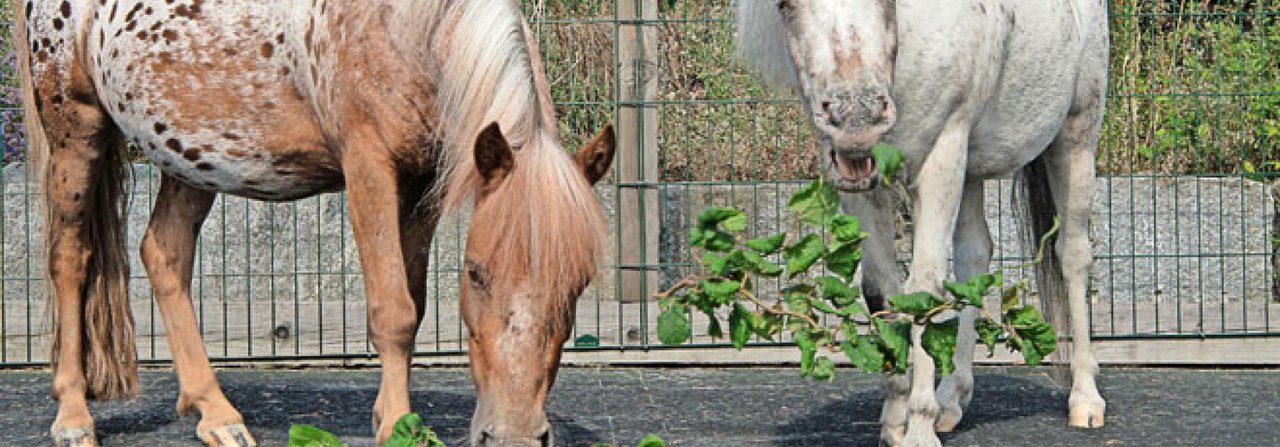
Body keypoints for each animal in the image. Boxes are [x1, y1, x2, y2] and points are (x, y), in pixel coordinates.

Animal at [15, 0, 614, 445]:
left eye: (578, 284)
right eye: (474, 273)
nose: (514, 436)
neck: (409, 30)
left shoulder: (425, 182)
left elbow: (415, 305)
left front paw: (393, 417)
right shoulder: (369, 166)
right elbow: (393, 312)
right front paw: (397, 427)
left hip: (189, 154)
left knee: (164, 253)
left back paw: (215, 413)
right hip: (77, 130)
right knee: (69, 260)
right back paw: (73, 418)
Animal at [742, 0, 1111, 445]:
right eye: (785, 6)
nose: (856, 118)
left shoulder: (941, 155)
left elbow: (923, 288)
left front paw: (917, 428)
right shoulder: (860, 180)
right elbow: (881, 290)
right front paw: (894, 421)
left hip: (1077, 132)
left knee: (1072, 255)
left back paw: (1085, 400)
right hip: (971, 169)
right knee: (975, 257)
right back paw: (951, 400)